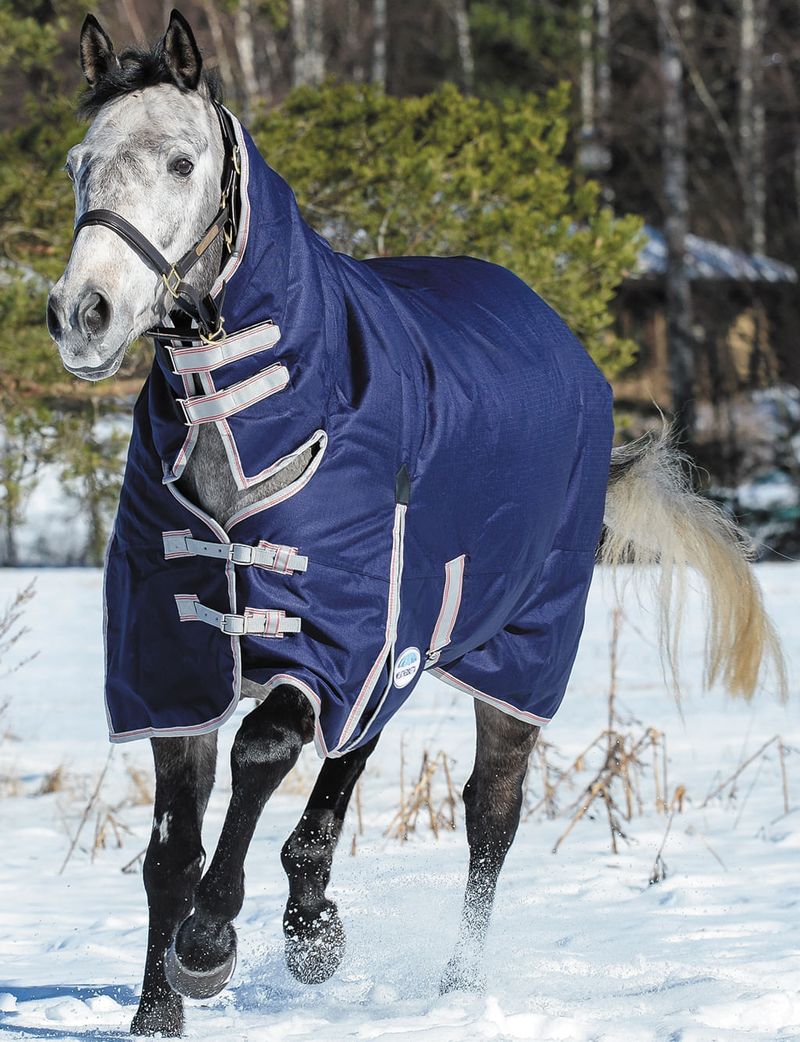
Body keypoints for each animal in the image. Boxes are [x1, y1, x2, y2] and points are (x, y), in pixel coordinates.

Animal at [46, 11, 783, 1037]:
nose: (85, 314)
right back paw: (313, 918)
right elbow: (170, 847)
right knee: (354, 760)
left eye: (182, 162)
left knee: (489, 813)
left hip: (513, 653)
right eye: (81, 163)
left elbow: (263, 749)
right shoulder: (177, 655)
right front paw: (162, 1008)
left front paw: (211, 944)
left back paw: (453, 988)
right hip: (407, 633)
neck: (247, 417)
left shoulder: (337, 631)